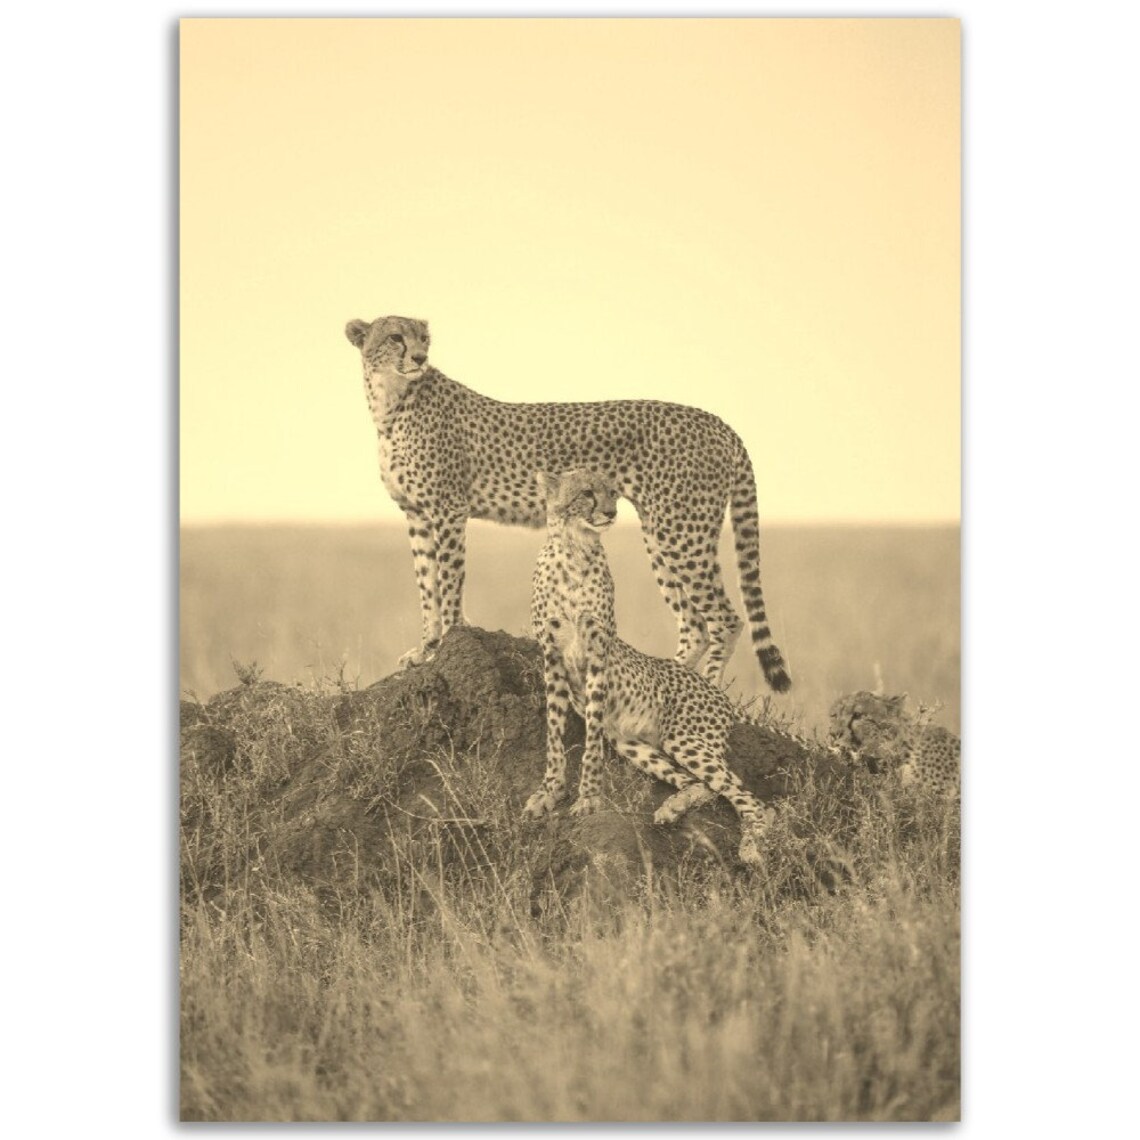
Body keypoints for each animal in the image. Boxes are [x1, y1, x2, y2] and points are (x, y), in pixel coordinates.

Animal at [344, 314, 791, 689]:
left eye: (423, 339)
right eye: (396, 337)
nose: (419, 356)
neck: (390, 401)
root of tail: (718, 422)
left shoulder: (447, 508)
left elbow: (449, 580)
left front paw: (448, 640)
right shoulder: (417, 514)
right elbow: (427, 586)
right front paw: (426, 648)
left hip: (681, 532)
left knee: (725, 619)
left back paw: (707, 688)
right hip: (661, 533)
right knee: (694, 623)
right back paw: (669, 681)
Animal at [524, 467, 775, 866]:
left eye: (612, 492)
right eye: (587, 493)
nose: (610, 512)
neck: (575, 549)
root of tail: (716, 691)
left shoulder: (597, 655)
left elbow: (591, 741)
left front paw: (588, 797)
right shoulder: (552, 658)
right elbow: (554, 733)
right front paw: (548, 791)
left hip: (686, 739)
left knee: (749, 799)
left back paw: (750, 846)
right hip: (633, 744)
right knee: (700, 783)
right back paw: (672, 808)